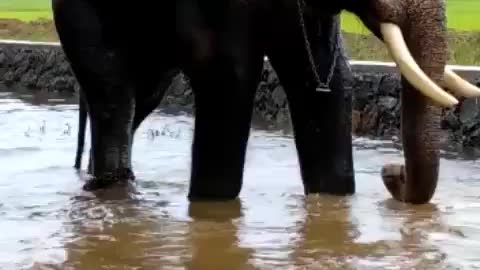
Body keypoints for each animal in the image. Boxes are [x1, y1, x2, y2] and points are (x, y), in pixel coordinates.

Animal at [52, 0, 480, 204]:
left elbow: (326, 80)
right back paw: (111, 187)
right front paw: (212, 208)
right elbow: (230, 72)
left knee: (142, 98)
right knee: (113, 93)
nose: (392, 172)